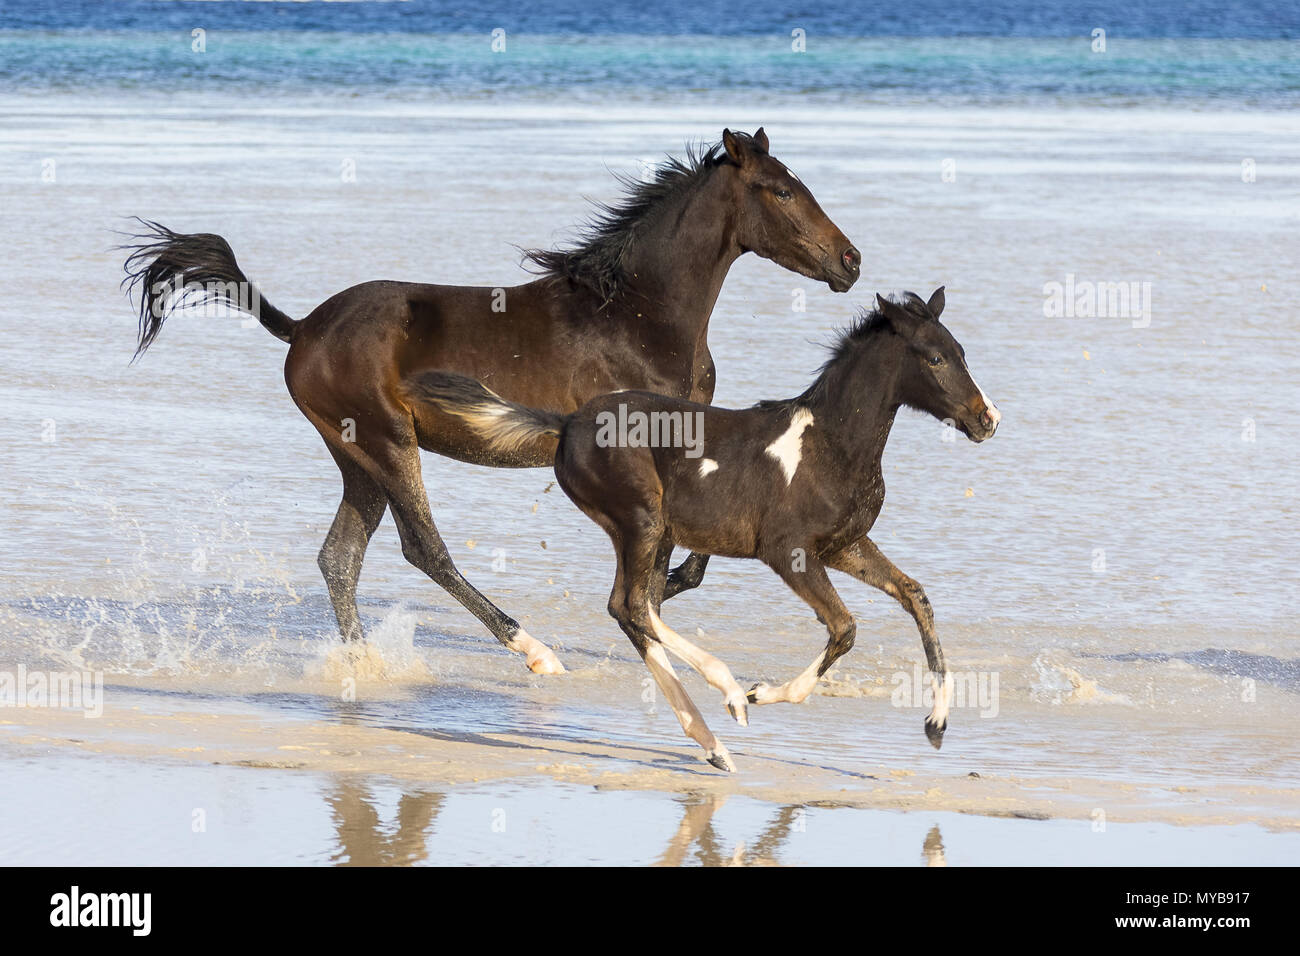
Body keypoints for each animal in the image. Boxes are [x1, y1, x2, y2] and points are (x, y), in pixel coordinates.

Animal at [119, 130, 852, 676]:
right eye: (782, 189)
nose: (851, 262)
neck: (637, 316)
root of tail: (301, 329)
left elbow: (692, 556)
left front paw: (657, 607)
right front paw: (647, 613)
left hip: (356, 454)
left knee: (340, 557)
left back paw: (362, 665)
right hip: (388, 441)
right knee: (423, 550)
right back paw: (534, 652)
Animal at [410, 290, 998, 770]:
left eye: (962, 351)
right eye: (935, 358)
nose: (987, 419)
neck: (831, 445)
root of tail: (568, 423)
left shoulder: (844, 546)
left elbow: (916, 597)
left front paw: (936, 725)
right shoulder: (788, 552)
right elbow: (845, 627)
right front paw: (760, 693)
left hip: (650, 532)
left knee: (634, 609)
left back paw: (714, 745)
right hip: (642, 521)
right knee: (632, 606)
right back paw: (730, 698)